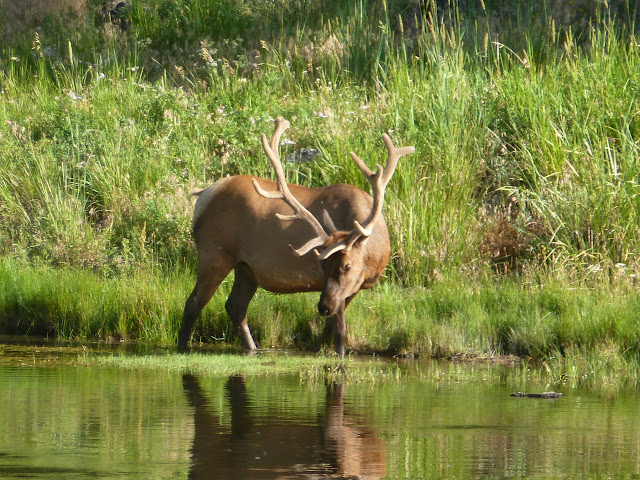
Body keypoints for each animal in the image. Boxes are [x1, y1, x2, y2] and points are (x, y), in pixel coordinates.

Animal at [178, 117, 416, 356]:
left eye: (347, 266)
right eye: (322, 264)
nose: (323, 306)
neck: (373, 255)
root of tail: (202, 196)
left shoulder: (350, 288)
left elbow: (329, 328)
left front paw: (318, 349)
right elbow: (340, 332)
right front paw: (339, 356)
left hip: (246, 268)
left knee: (235, 306)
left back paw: (252, 348)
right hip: (214, 253)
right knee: (193, 303)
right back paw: (182, 347)